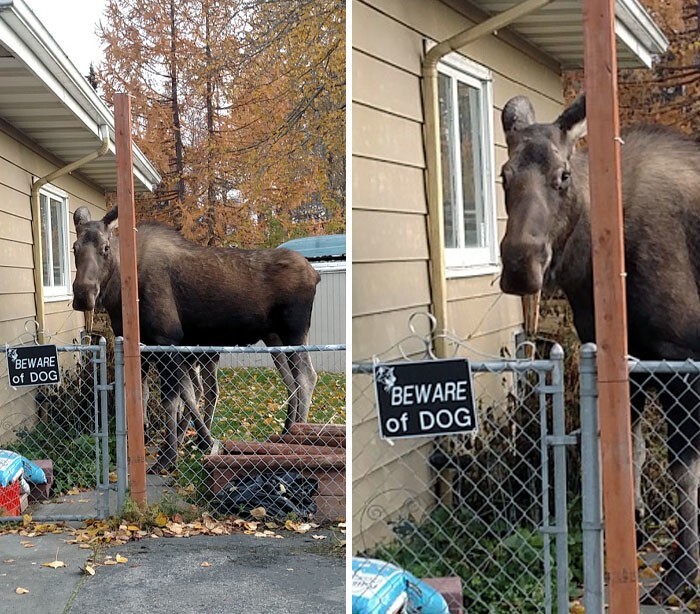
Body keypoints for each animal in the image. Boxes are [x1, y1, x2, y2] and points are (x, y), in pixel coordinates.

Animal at [72, 207, 320, 472]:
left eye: (106, 247)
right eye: (74, 247)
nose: (83, 294)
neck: (120, 293)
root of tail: (315, 274)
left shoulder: (166, 340)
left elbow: (172, 400)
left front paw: (168, 457)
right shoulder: (145, 348)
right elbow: (152, 395)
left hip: (294, 332)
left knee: (306, 378)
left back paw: (296, 438)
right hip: (274, 339)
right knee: (291, 382)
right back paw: (285, 431)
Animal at [500, 94, 700, 604]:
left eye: (563, 175)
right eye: (504, 175)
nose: (520, 265)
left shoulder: (680, 358)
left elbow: (682, 472)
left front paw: (681, 574)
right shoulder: (630, 364)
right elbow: (631, 453)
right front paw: (633, 535)